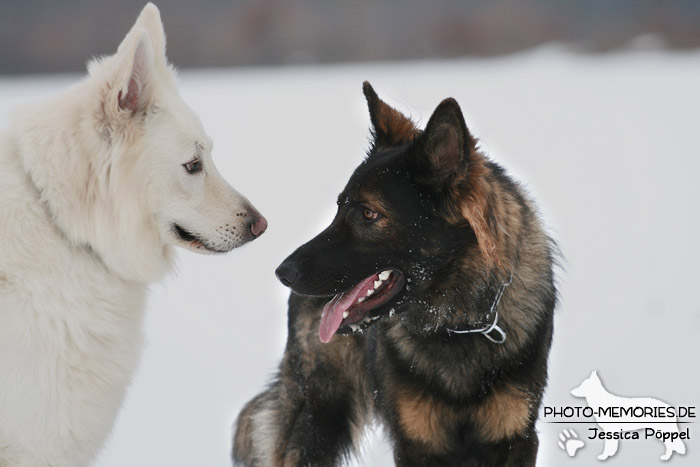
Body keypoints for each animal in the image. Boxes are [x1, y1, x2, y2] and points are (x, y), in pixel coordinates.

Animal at [234, 82, 556, 466]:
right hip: (318, 419)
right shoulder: (416, 442)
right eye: (339, 208)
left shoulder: (515, 439)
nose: (283, 273)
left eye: (369, 214)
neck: (457, 323)